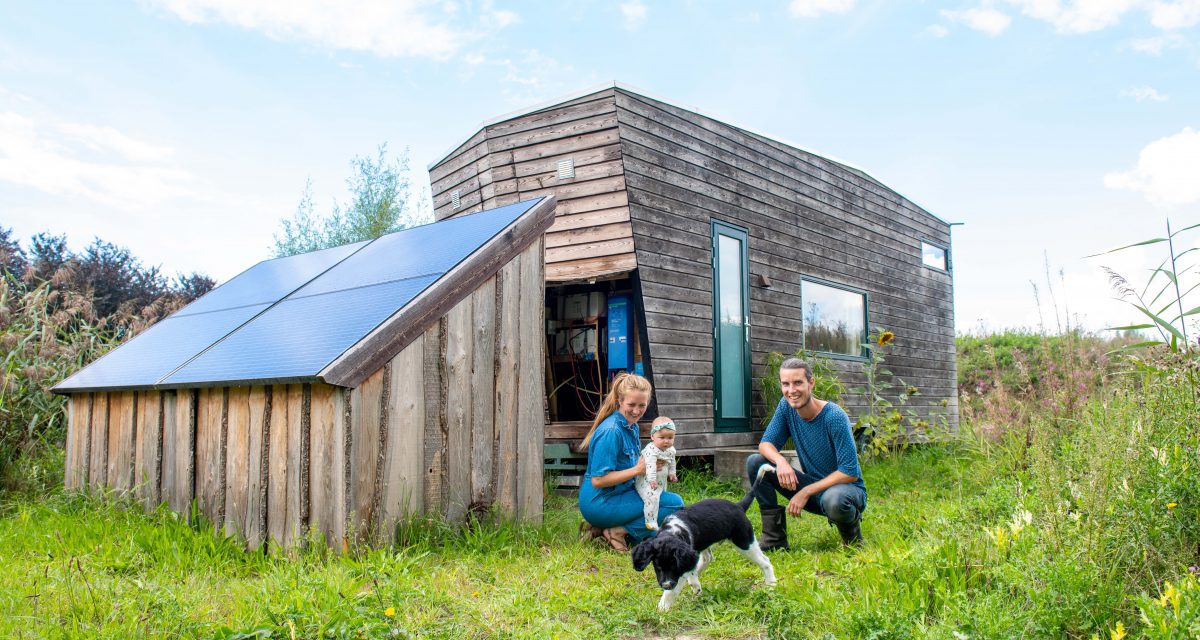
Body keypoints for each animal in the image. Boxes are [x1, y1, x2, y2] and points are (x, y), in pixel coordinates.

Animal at [633, 463, 782, 609]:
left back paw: (771, 584)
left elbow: (673, 590)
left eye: (673, 567)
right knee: (708, 558)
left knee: (765, 562)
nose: (666, 585)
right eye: (657, 567)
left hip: (744, 541)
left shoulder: (681, 567)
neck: (672, 531)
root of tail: (738, 506)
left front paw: (663, 608)